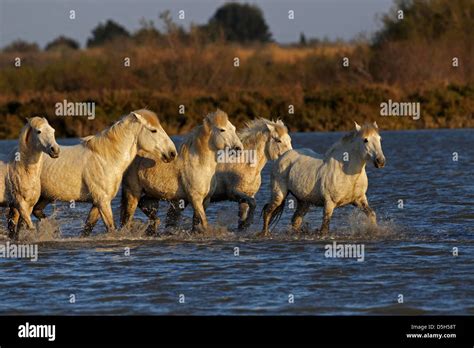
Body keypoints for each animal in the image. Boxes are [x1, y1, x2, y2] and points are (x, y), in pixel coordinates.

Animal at [32, 109, 176, 235]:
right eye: (153, 130)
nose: (172, 153)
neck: (105, 159)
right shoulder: (103, 202)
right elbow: (111, 228)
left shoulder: (97, 203)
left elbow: (87, 229)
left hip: (46, 196)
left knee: (36, 211)